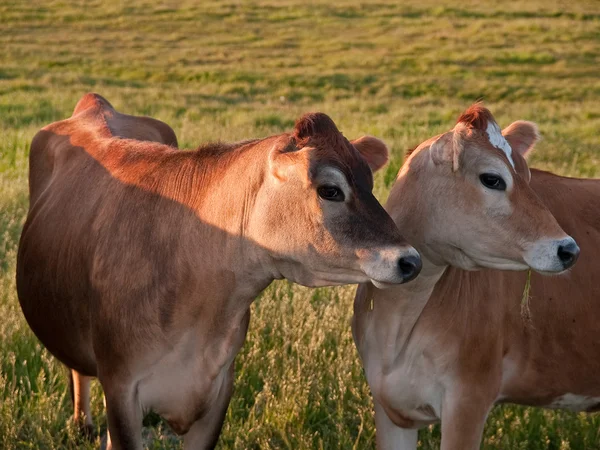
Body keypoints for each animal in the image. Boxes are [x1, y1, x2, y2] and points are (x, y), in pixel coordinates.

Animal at [18, 93, 422, 448]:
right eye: (330, 190)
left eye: (370, 184)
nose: (411, 260)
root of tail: (93, 103)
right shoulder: (120, 390)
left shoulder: (218, 390)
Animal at [352, 103, 592, 450]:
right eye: (492, 179)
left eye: (528, 176)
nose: (569, 249)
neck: (397, 318)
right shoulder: (390, 407)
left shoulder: (468, 399)